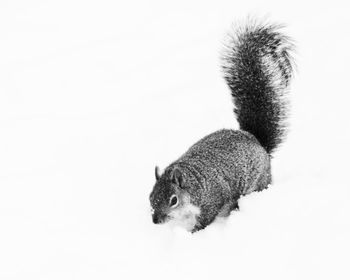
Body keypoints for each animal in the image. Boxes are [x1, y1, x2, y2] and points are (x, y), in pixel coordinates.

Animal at [149, 20, 294, 232]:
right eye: (150, 197)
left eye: (173, 200)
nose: (155, 221)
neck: (191, 185)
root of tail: (258, 142)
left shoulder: (212, 199)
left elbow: (206, 218)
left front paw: (194, 232)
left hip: (257, 182)